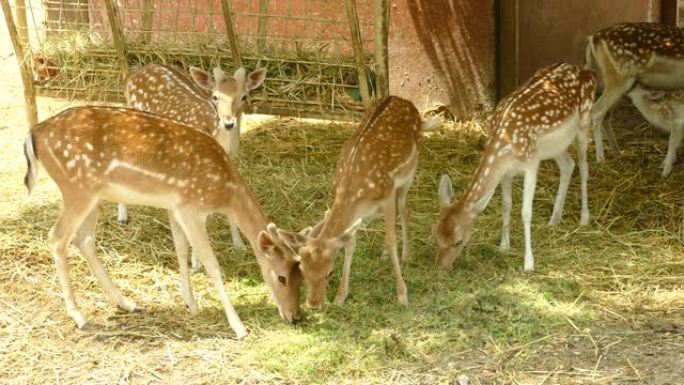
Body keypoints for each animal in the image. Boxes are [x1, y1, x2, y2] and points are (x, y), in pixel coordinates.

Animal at [23, 106, 300, 340]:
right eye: (281, 277)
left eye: (301, 274)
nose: (295, 317)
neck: (226, 192)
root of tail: (34, 132)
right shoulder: (191, 208)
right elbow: (211, 264)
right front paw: (239, 327)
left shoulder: (175, 208)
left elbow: (181, 250)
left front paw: (191, 304)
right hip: (76, 189)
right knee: (57, 237)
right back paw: (80, 316)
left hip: (94, 196)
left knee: (84, 238)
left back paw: (127, 303)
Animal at [120, 63, 264, 255]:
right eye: (215, 96)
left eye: (244, 96)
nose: (228, 123)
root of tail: (132, 73)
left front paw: (239, 244)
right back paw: (122, 216)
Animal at [274, 97, 438, 308]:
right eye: (302, 270)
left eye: (329, 272)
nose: (313, 304)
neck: (352, 192)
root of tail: (403, 100)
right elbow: (350, 243)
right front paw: (340, 296)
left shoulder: (387, 194)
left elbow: (391, 240)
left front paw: (402, 294)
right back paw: (385, 254)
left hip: (409, 173)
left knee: (404, 209)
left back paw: (406, 256)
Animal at [436, 63, 596, 272]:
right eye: (436, 234)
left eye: (458, 241)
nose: (441, 267)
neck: (504, 146)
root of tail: (586, 72)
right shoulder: (506, 173)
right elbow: (506, 205)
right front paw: (504, 246)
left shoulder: (531, 165)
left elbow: (526, 212)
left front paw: (528, 263)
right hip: (554, 147)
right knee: (568, 164)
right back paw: (554, 219)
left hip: (584, 122)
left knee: (584, 167)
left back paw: (584, 218)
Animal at [584, 22, 684, 160]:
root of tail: (594, 38)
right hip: (619, 78)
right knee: (597, 111)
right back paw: (601, 159)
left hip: (615, 82)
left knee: (606, 114)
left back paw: (617, 152)